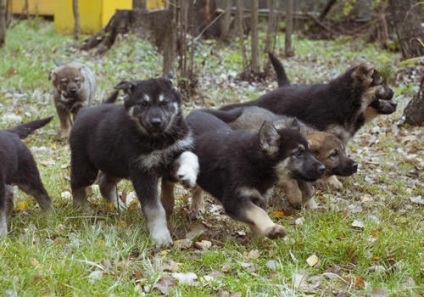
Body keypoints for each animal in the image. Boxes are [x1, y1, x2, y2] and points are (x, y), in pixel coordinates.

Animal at [70, 75, 200, 245]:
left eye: (164, 103)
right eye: (143, 104)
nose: (156, 122)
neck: (158, 139)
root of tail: (83, 112)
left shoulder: (175, 151)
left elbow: (190, 156)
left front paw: (188, 175)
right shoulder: (142, 172)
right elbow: (154, 209)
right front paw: (161, 236)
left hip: (117, 164)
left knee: (104, 183)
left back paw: (118, 207)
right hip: (87, 166)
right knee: (76, 183)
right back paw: (82, 208)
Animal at [161, 109, 322, 238]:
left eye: (309, 151)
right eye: (298, 153)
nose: (322, 168)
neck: (255, 163)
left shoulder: (259, 198)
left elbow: (256, 217)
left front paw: (260, 239)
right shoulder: (234, 200)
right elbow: (258, 213)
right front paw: (272, 229)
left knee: (197, 186)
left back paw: (197, 205)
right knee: (167, 180)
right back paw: (167, 203)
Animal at [204, 106, 356, 208]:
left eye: (343, 151)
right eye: (333, 154)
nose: (356, 166)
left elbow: (308, 190)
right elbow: (294, 185)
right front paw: (296, 198)